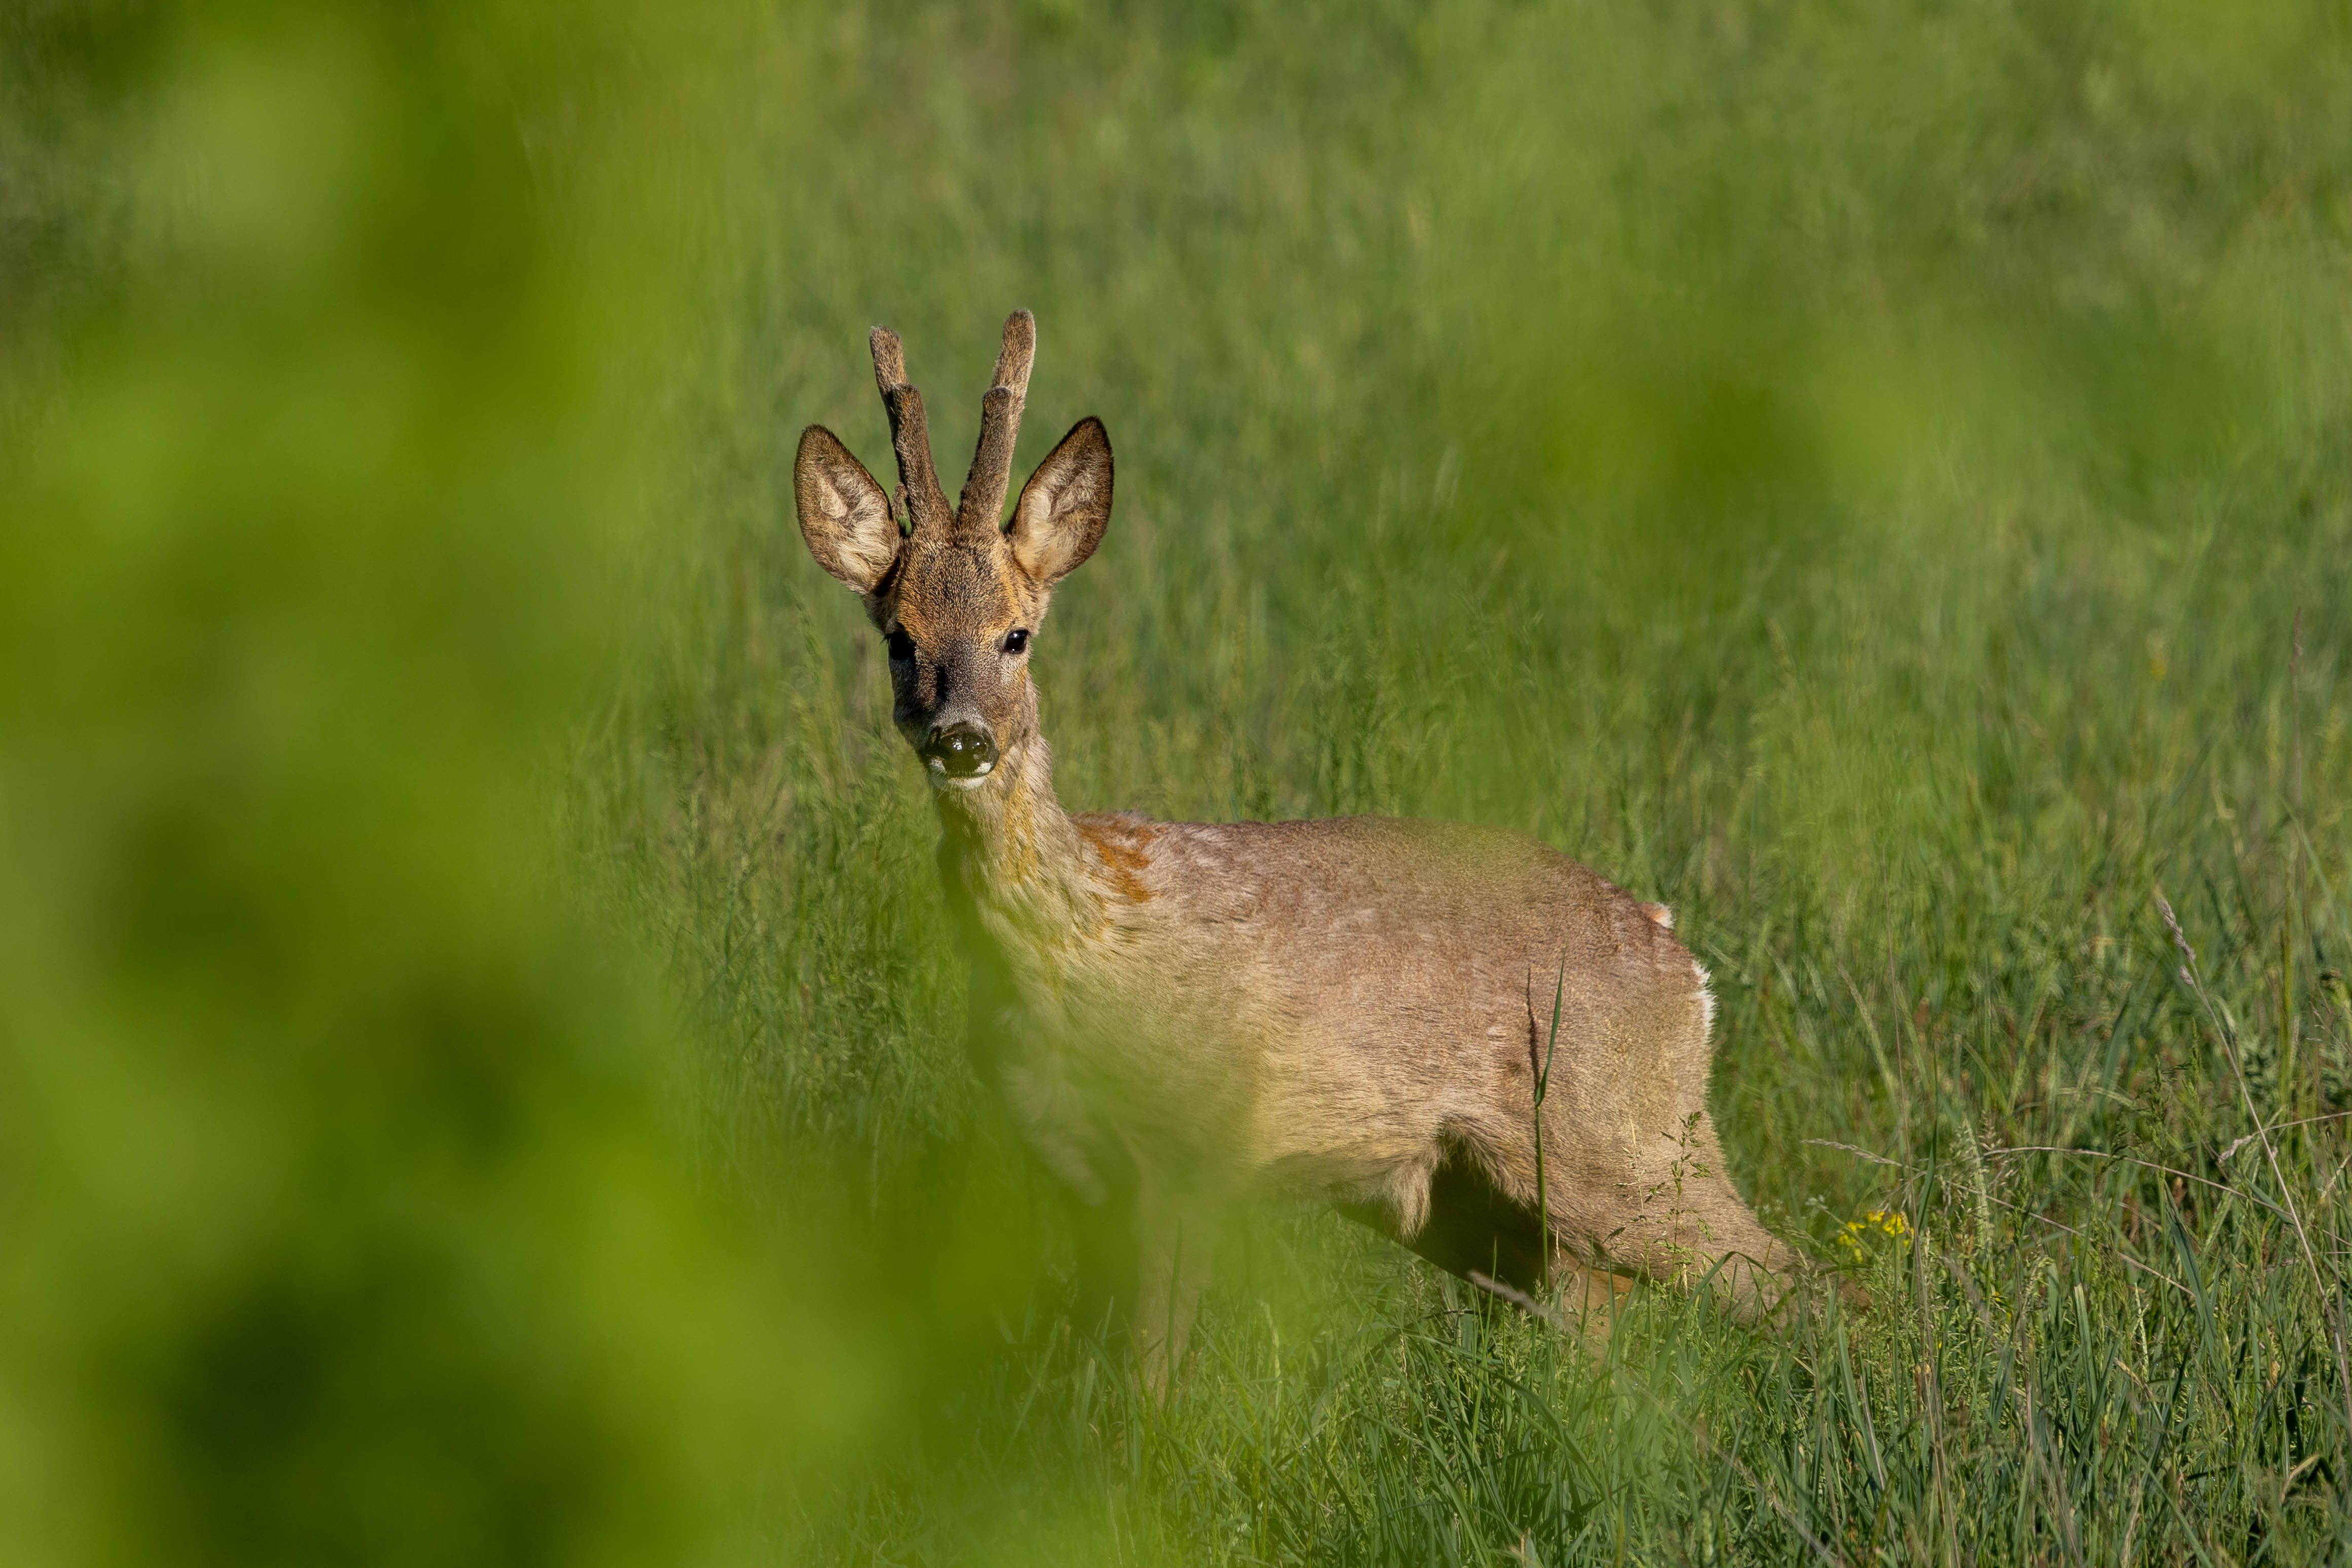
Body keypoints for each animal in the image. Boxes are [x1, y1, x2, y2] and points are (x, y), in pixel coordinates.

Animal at [793, 311, 1794, 1388]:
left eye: (1015, 635)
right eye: (899, 638)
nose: (962, 739)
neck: (1081, 935)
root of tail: (1678, 956)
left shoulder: (1187, 1148)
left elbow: (1152, 1379)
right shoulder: (1068, 1167)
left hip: (1625, 1142)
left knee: (1800, 1282)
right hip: (1475, 1202)